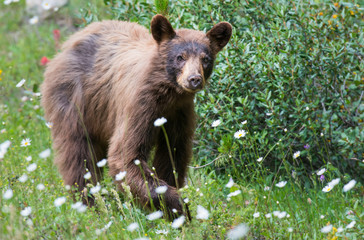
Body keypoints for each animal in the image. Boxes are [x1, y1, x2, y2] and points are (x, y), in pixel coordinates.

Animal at [41, 14, 232, 218]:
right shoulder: (139, 106)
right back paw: (90, 204)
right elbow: (126, 155)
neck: (167, 96)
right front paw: (180, 209)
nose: (194, 79)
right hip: (75, 101)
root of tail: (68, 43)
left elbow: (173, 155)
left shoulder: (179, 113)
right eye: (180, 57)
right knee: (78, 155)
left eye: (206, 59)